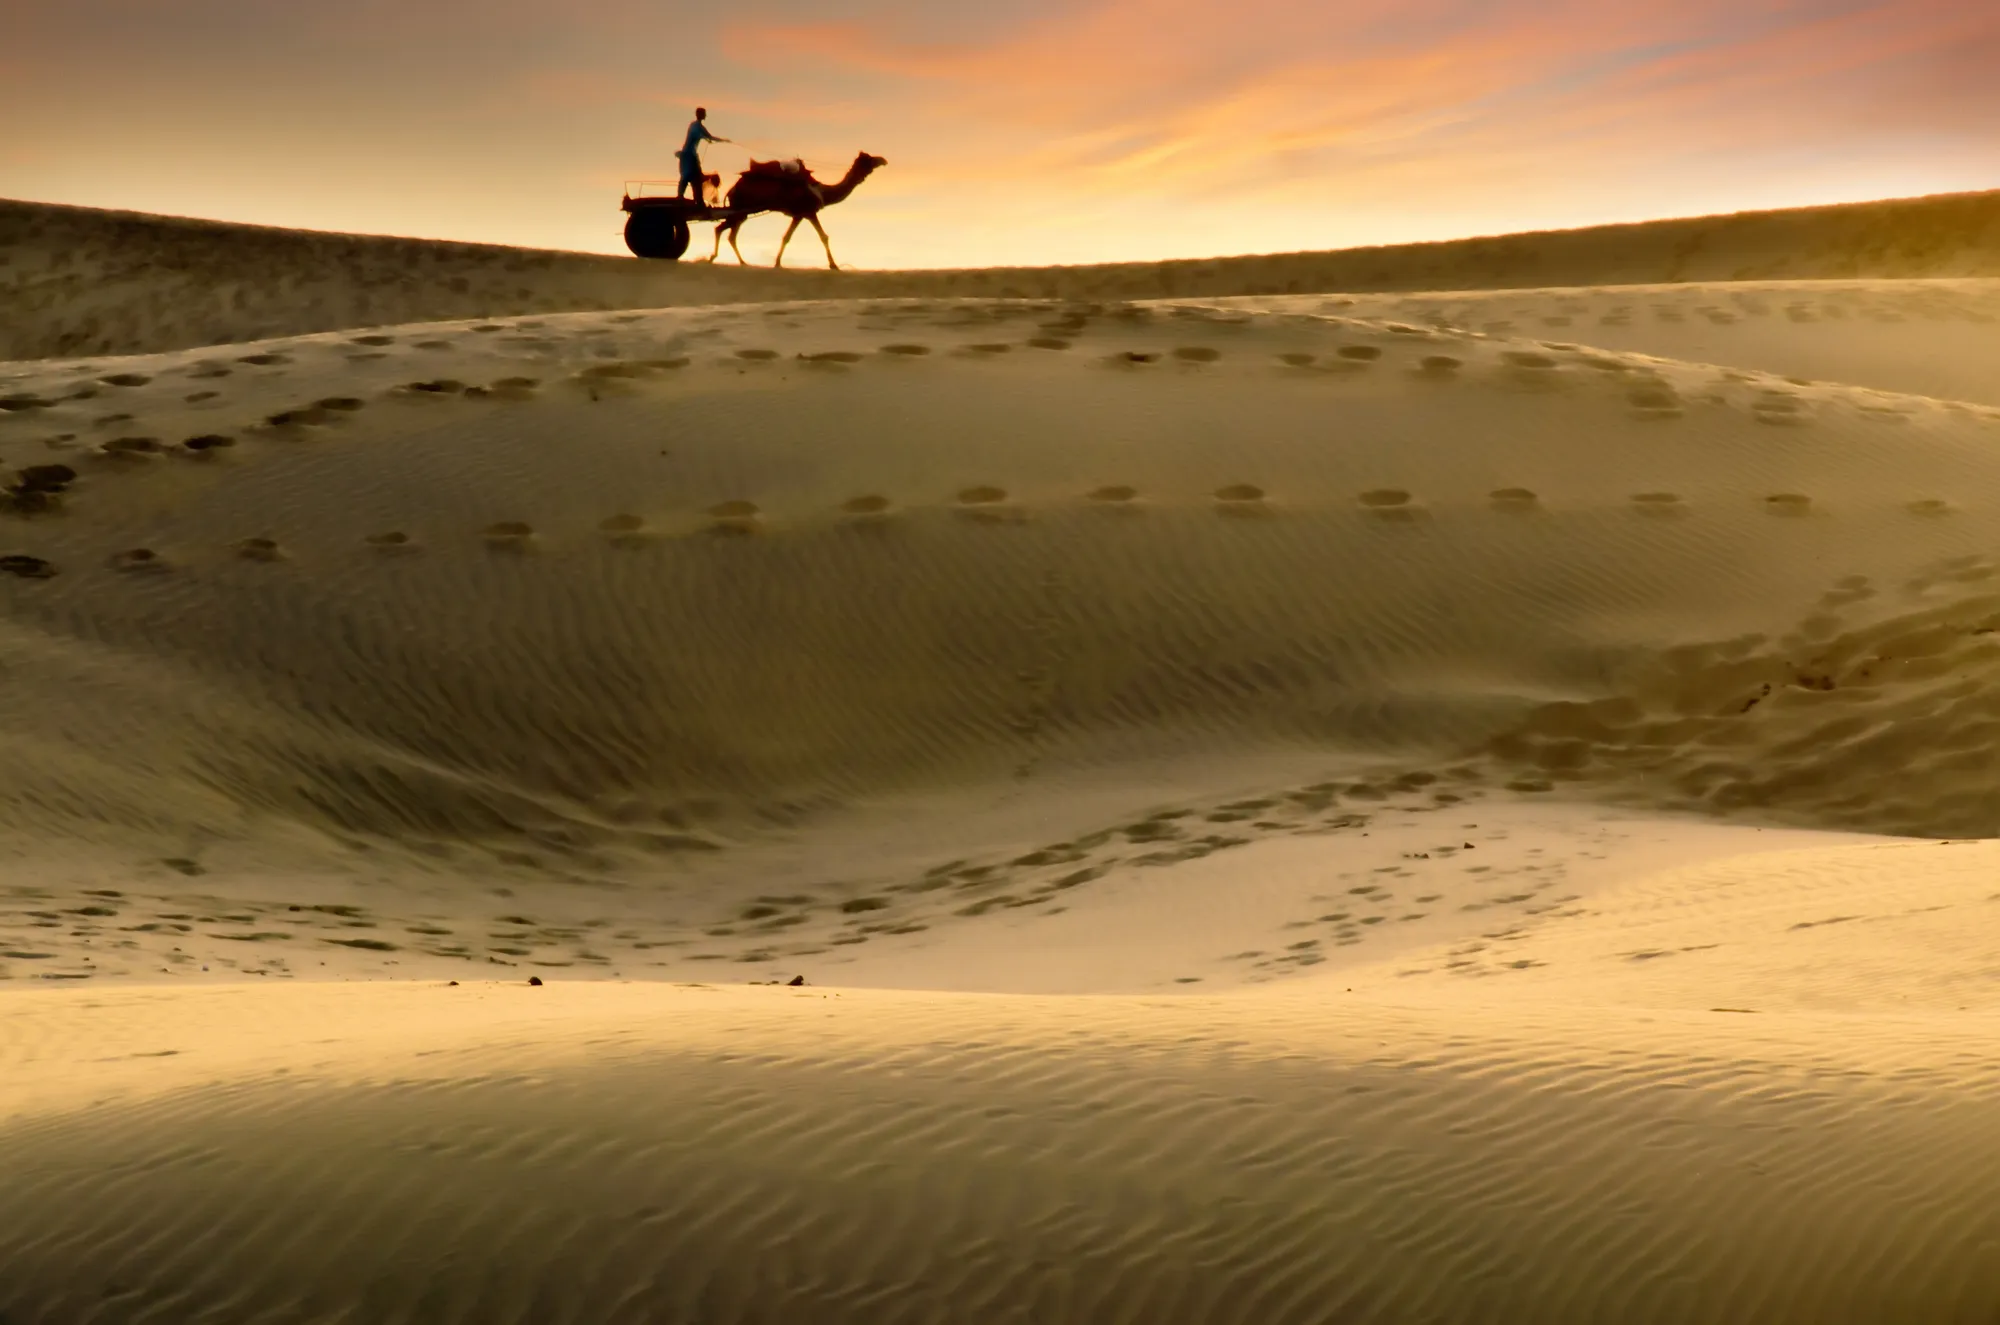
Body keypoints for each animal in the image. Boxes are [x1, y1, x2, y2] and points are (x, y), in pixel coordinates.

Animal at [707, 152, 886, 270]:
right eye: (869, 159)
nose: (883, 160)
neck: (822, 191)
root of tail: (732, 189)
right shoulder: (807, 212)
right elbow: (823, 237)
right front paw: (834, 265)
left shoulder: (798, 215)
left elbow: (786, 237)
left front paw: (777, 263)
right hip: (740, 209)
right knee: (724, 230)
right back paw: (723, 259)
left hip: (741, 212)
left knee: (726, 232)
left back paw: (734, 261)